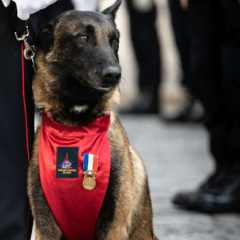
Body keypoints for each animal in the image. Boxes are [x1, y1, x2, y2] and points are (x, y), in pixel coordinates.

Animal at [27, 0, 158, 239]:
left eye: (114, 41)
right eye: (83, 38)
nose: (115, 74)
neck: (75, 128)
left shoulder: (113, 225)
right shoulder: (45, 226)